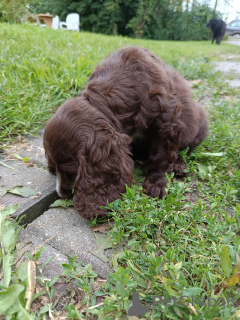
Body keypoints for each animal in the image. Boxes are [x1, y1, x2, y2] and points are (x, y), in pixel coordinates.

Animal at [43, 45, 208, 220]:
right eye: (53, 168)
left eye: (70, 172)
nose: (60, 194)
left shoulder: (167, 120)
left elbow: (161, 155)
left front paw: (156, 182)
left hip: (200, 126)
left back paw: (179, 165)